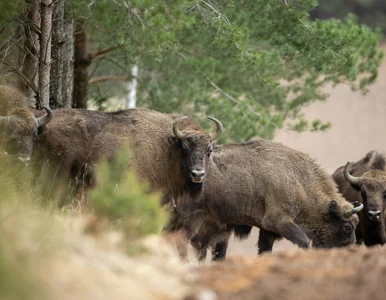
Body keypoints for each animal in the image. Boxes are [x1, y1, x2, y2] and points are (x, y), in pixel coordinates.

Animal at [168, 139, 362, 260]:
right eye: (347, 227)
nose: (350, 251)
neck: (299, 181)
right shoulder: (278, 221)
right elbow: (304, 241)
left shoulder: (267, 230)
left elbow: (264, 250)